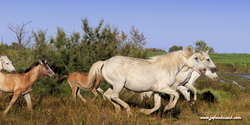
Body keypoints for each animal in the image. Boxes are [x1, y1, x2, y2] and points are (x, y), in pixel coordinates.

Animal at [73, 46, 206, 114]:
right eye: (195, 58)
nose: (204, 70)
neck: (166, 68)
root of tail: (105, 62)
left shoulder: (157, 91)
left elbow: (157, 105)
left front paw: (144, 111)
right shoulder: (164, 88)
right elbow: (176, 96)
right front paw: (168, 107)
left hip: (113, 85)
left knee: (107, 95)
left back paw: (118, 109)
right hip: (118, 85)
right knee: (114, 96)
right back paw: (128, 110)